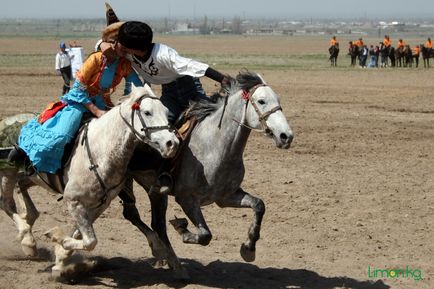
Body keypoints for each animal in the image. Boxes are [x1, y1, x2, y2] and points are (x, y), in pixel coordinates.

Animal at [0, 82, 180, 274]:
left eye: (166, 111)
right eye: (147, 112)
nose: (172, 144)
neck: (100, 152)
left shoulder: (100, 204)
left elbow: (82, 235)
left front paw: (61, 256)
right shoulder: (74, 201)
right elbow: (90, 241)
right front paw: (58, 241)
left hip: (32, 176)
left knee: (21, 187)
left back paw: (30, 224)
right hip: (7, 174)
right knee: (6, 203)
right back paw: (28, 239)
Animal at [120, 70, 294, 270]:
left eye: (278, 99)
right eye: (261, 101)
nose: (286, 136)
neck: (215, 146)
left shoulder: (226, 197)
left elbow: (259, 205)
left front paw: (249, 248)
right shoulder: (186, 199)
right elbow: (205, 235)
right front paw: (183, 229)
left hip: (155, 192)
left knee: (156, 223)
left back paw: (167, 258)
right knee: (135, 215)